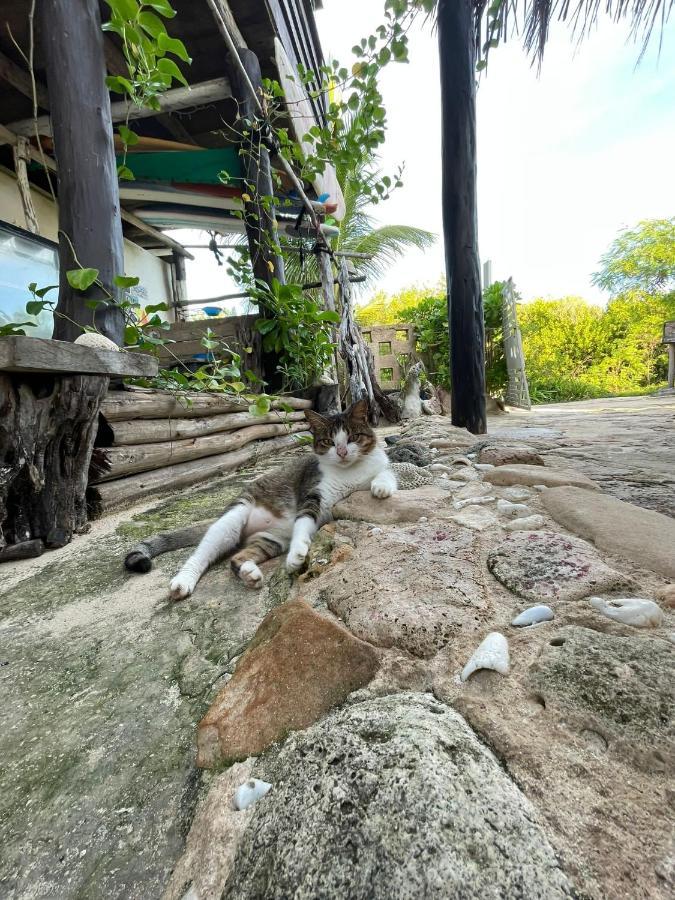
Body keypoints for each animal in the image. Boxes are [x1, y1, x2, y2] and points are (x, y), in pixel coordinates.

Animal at [123, 400, 396, 596]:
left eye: (352, 437)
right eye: (329, 441)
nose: (341, 452)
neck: (350, 471)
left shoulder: (380, 466)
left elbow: (387, 473)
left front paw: (381, 488)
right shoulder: (312, 493)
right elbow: (303, 521)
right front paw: (297, 555)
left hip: (271, 539)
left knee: (238, 558)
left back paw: (249, 573)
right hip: (233, 520)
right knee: (203, 551)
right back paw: (183, 581)